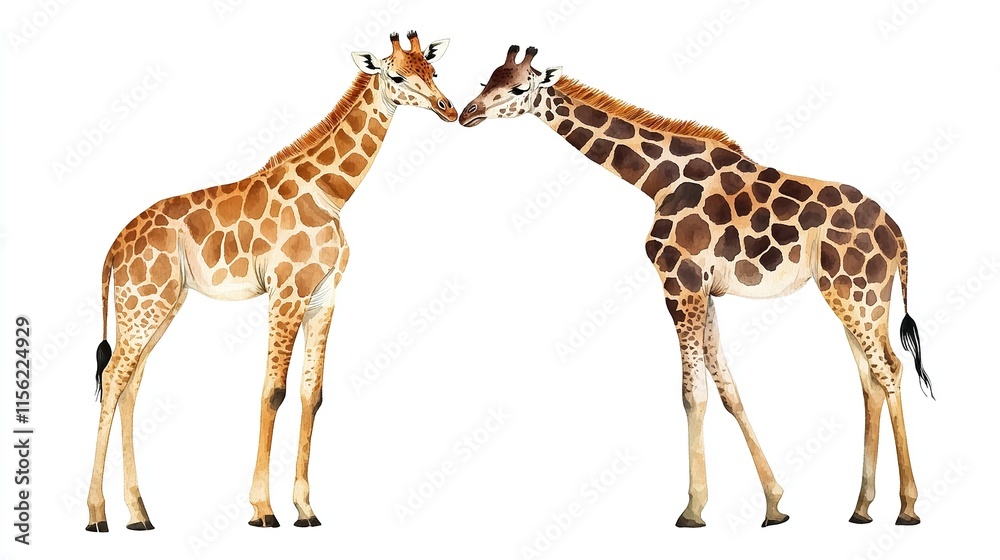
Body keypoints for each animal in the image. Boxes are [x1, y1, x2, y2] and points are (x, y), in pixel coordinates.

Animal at [85, 31, 457, 532]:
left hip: (161, 304)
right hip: (143, 302)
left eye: (433, 70)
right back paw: (96, 515)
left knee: (131, 384)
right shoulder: (286, 292)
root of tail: (113, 249)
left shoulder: (324, 297)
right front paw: (263, 509)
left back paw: (140, 515)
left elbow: (312, 394)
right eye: (396, 75)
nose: (447, 108)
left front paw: (305, 509)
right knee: (112, 378)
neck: (333, 194)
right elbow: (273, 391)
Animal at [460, 46, 934, 528]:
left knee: (889, 370)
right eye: (486, 80)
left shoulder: (680, 282)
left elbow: (693, 394)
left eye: (518, 87)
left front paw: (692, 508)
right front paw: (773, 503)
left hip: (856, 291)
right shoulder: (705, 291)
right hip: (854, 296)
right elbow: (728, 390)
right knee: (871, 378)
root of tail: (898, 234)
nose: (467, 113)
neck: (655, 180)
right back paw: (861, 507)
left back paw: (908, 507)